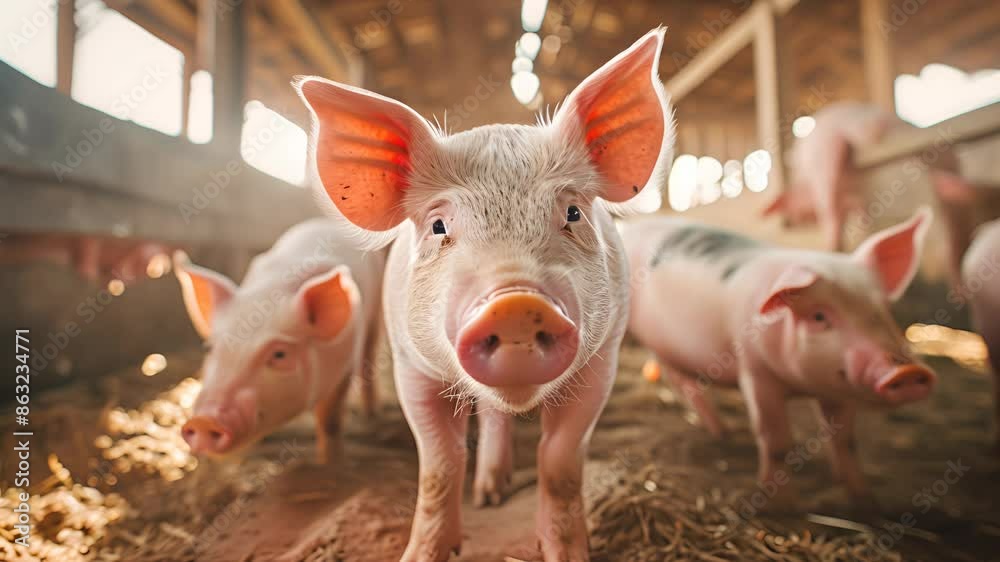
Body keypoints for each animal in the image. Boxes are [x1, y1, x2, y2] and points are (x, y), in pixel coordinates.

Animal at [173, 218, 385, 461]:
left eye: (279, 354)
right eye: (210, 349)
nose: (203, 421)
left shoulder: (345, 366)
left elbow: (329, 421)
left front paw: (330, 463)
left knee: (370, 352)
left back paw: (371, 415)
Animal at [297, 29, 674, 561]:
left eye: (573, 213)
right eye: (438, 226)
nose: (516, 304)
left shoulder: (604, 359)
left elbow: (560, 462)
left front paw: (565, 551)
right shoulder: (410, 365)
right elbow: (439, 464)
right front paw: (423, 553)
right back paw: (488, 494)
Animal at [622, 207, 936, 506]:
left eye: (883, 309)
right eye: (819, 316)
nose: (907, 371)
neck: (801, 386)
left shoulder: (840, 387)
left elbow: (845, 441)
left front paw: (865, 500)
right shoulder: (756, 372)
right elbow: (775, 441)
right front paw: (782, 507)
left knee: (681, 380)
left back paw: (722, 433)